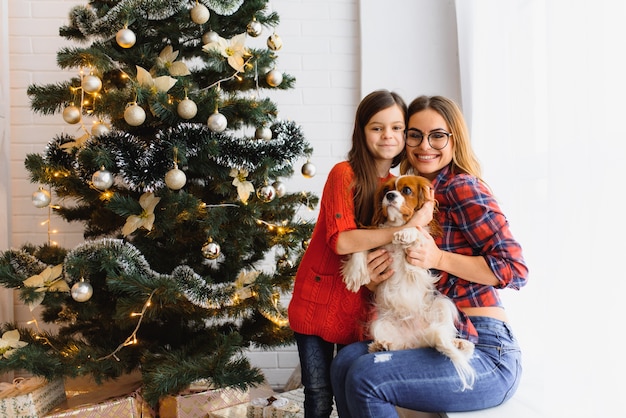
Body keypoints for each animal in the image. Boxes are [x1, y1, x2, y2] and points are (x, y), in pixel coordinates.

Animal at [342, 175, 472, 390]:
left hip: (442, 304)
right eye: (386, 190)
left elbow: (417, 230)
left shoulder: (422, 248)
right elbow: (360, 247)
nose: (389, 195)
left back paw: (461, 344)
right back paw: (381, 345)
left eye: (407, 191)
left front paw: (407, 232)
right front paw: (355, 272)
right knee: (398, 345)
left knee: (445, 332)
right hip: (379, 323)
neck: (395, 225)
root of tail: (418, 339)